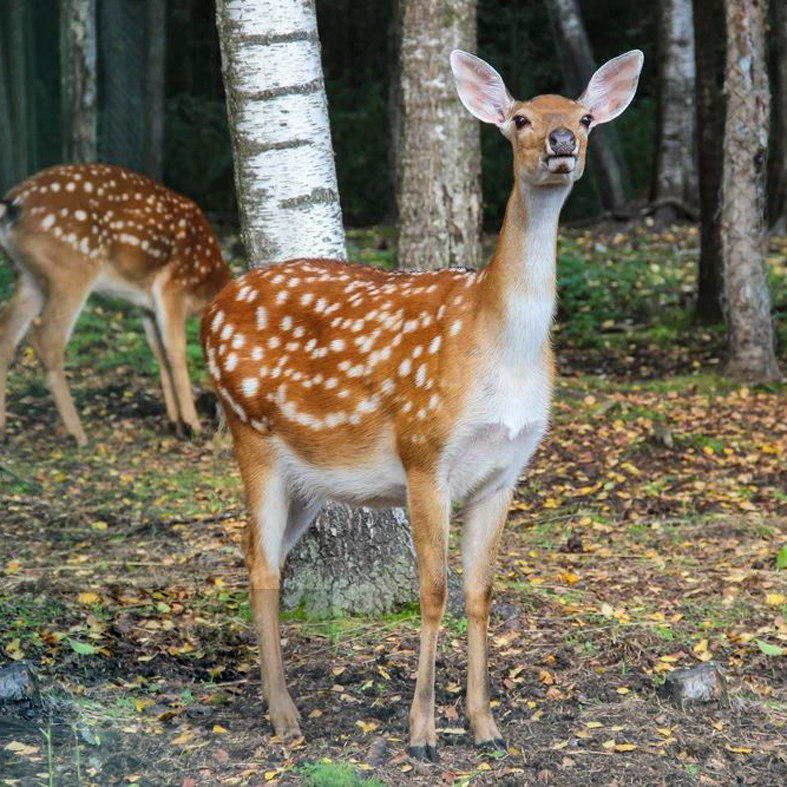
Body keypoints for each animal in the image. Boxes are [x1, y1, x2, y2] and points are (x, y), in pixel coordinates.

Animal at [0, 163, 231, 446]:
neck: (206, 283)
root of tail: (11, 205)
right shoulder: (172, 287)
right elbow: (176, 351)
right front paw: (192, 425)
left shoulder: (146, 303)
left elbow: (159, 352)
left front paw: (175, 422)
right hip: (70, 268)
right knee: (47, 340)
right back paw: (79, 434)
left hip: (28, 276)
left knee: (6, 334)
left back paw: (2, 429)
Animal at [200, 47, 644, 756]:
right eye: (520, 117)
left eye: (585, 116)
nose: (562, 142)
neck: (501, 350)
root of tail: (210, 309)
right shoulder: (423, 451)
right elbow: (433, 592)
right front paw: (422, 732)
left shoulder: (505, 471)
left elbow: (480, 594)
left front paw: (486, 726)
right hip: (250, 432)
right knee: (265, 565)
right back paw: (284, 714)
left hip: (307, 478)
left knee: (254, 553)